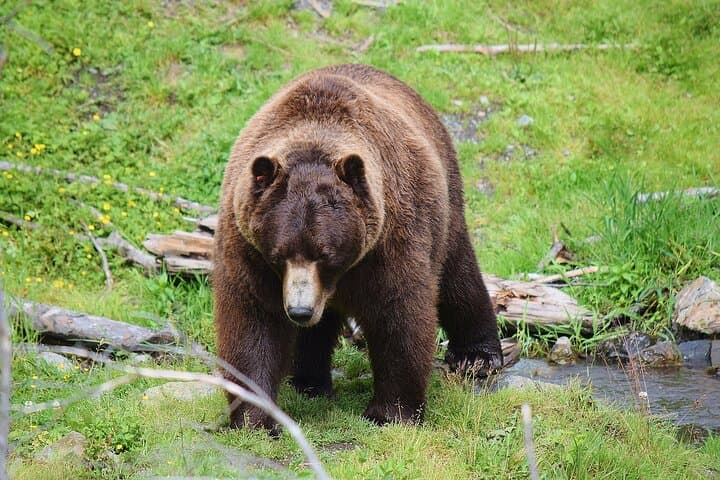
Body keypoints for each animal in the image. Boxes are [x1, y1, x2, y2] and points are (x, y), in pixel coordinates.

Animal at [213, 64, 502, 430]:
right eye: (280, 255)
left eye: (326, 255)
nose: (299, 310)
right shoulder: (248, 246)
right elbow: (253, 320)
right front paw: (256, 418)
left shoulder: (389, 240)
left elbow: (399, 315)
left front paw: (392, 412)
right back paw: (310, 381)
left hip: (445, 204)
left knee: (457, 275)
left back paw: (478, 356)